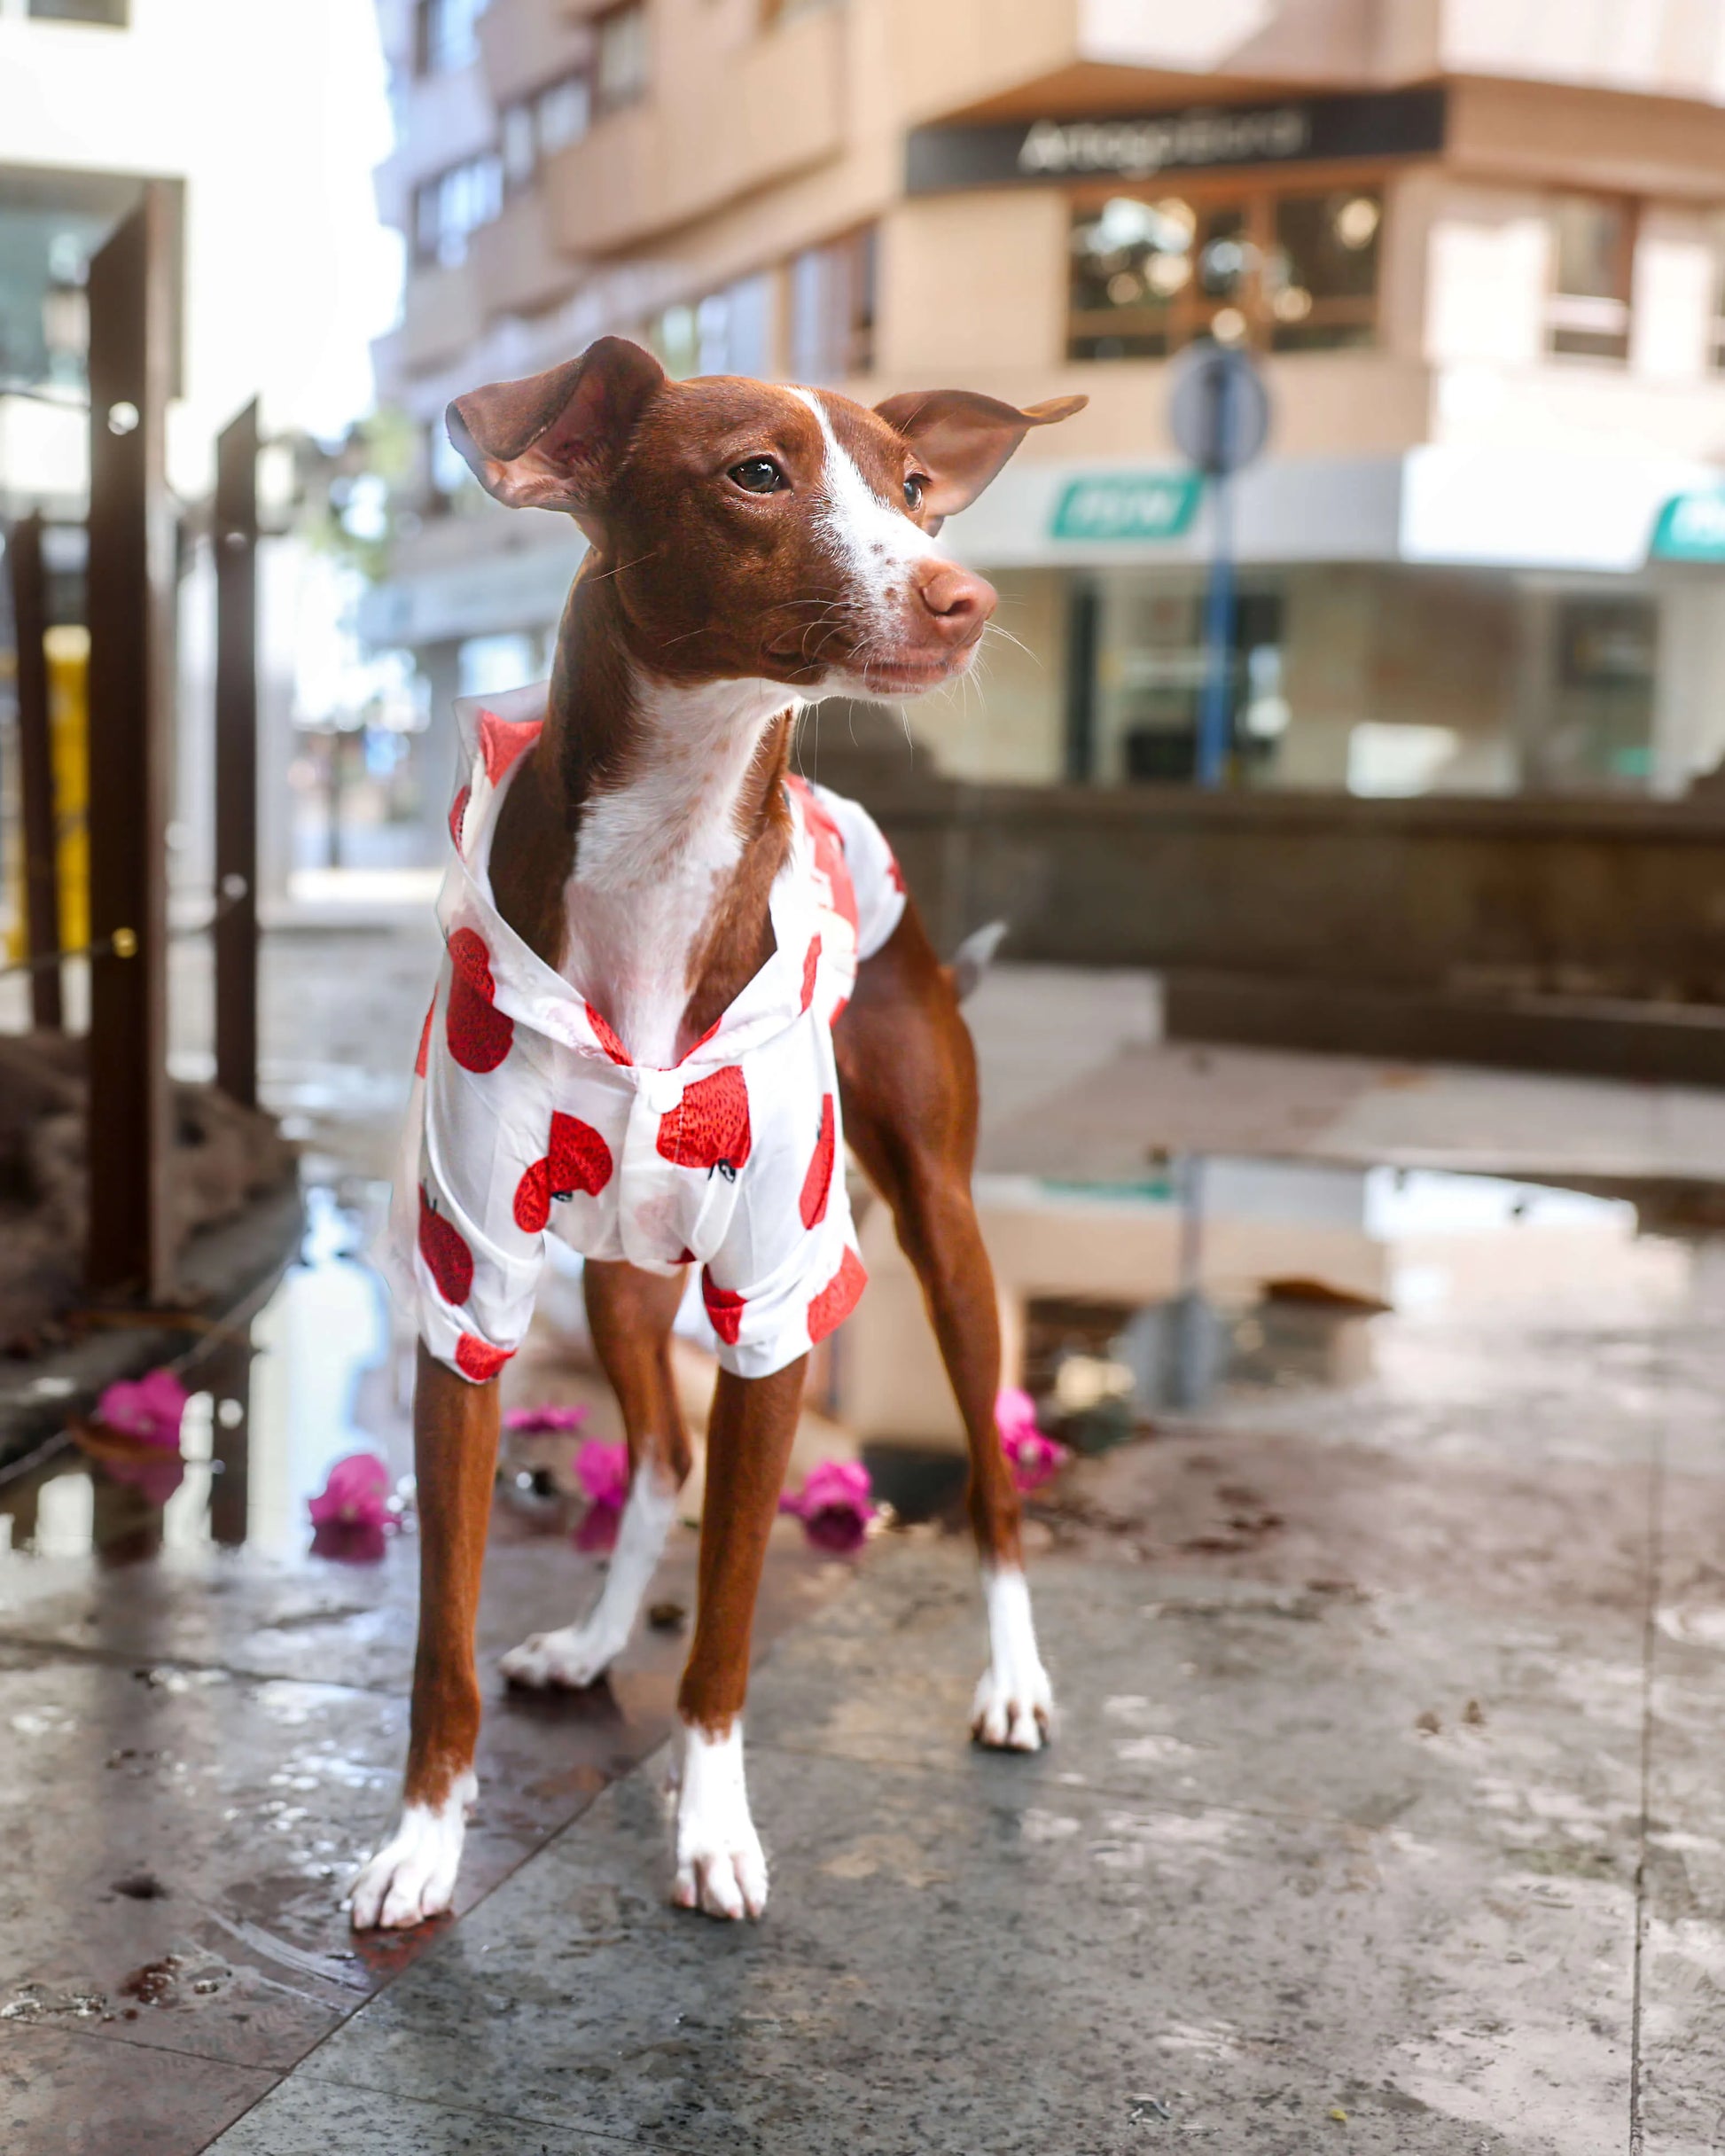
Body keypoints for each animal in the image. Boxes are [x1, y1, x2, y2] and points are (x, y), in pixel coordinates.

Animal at [342, 345, 1086, 1932]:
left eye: (913, 487)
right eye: (755, 474)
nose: (961, 594)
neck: (671, 851)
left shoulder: (774, 1310)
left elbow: (731, 1624)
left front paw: (713, 1827)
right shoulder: (469, 1298)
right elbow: (440, 1632)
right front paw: (423, 1838)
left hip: (942, 1236)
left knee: (991, 1481)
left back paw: (1010, 1681)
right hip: (616, 1278)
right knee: (659, 1454)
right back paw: (589, 1639)